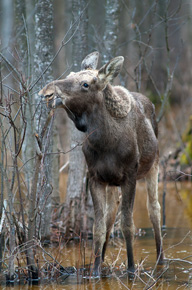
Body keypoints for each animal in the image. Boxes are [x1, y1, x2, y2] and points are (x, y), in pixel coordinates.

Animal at [38, 52, 164, 276]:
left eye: (85, 84)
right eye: (70, 75)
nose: (47, 92)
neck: (106, 142)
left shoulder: (130, 177)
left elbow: (128, 225)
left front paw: (131, 269)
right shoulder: (95, 177)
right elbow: (98, 226)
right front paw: (95, 269)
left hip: (153, 166)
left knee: (154, 209)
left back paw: (160, 259)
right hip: (112, 183)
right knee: (110, 215)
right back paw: (102, 257)